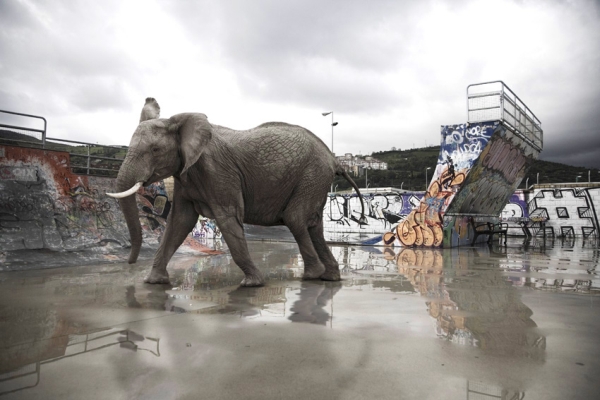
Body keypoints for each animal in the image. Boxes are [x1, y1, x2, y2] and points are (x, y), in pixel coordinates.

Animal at [109, 98, 366, 286]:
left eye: (154, 150)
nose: (130, 263)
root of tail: (335, 159)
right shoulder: (185, 174)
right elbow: (179, 222)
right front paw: (153, 282)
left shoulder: (217, 173)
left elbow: (228, 218)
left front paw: (252, 284)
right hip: (315, 180)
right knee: (313, 225)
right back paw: (329, 277)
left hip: (312, 176)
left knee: (296, 218)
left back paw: (312, 276)